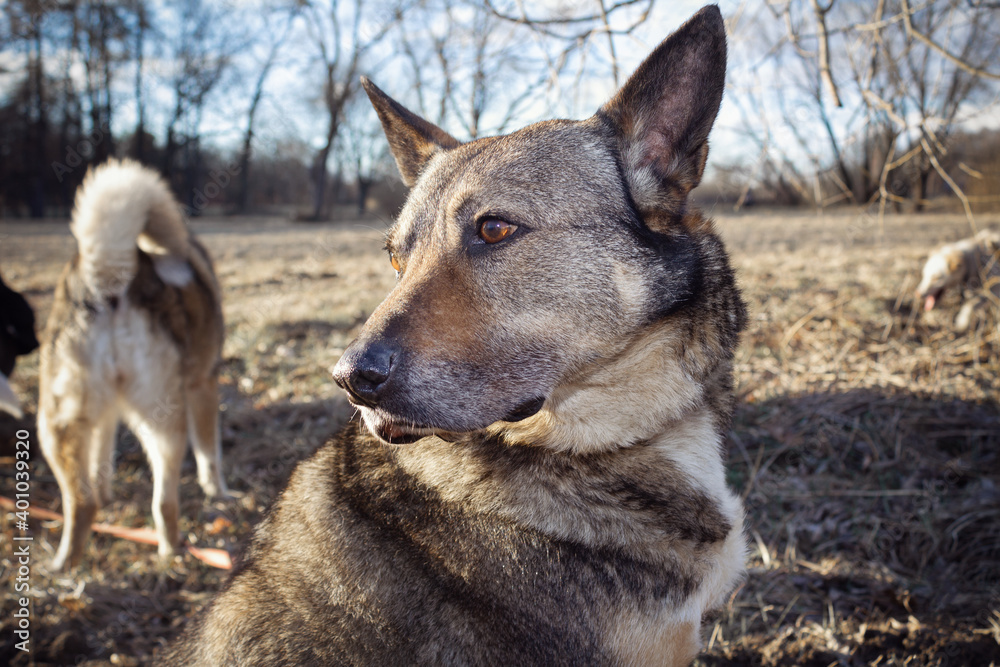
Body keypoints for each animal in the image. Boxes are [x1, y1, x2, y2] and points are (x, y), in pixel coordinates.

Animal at [39, 159, 229, 572]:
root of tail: (107, 278)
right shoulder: (203, 385)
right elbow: (210, 453)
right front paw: (219, 493)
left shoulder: (107, 413)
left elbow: (101, 456)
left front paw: (106, 490)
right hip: (166, 421)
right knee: (164, 501)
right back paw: (171, 550)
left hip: (55, 427)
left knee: (82, 501)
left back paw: (65, 562)